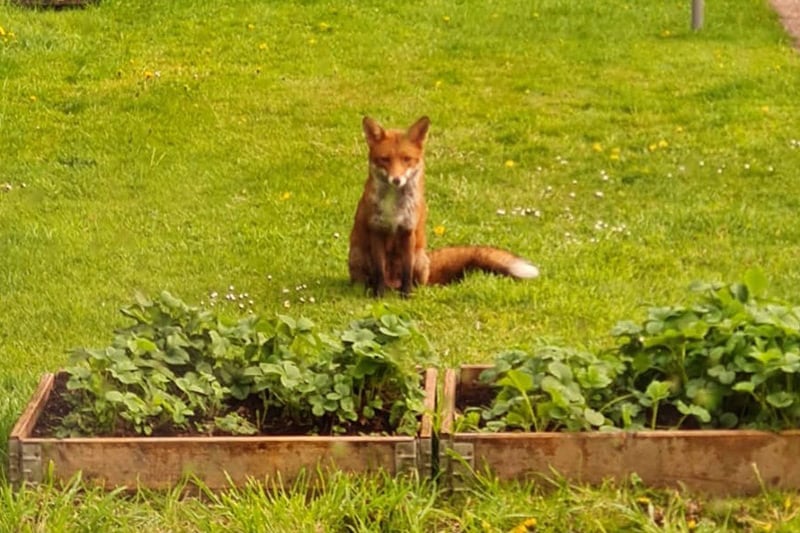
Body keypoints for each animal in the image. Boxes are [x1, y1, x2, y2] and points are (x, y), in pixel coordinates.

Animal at [348, 115, 540, 298]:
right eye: (385, 159)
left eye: (407, 159)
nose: (397, 180)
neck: (394, 208)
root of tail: (392, 286)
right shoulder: (376, 230)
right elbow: (379, 271)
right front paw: (378, 296)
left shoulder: (408, 232)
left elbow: (407, 271)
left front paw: (407, 296)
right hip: (357, 255)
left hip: (419, 259)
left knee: (415, 280)